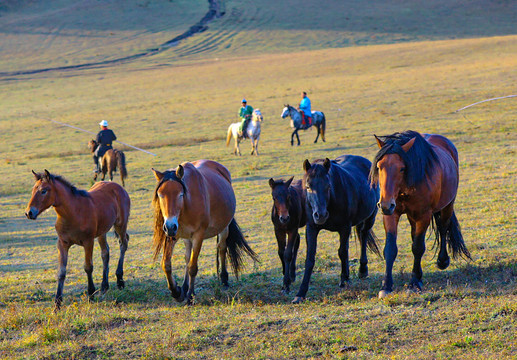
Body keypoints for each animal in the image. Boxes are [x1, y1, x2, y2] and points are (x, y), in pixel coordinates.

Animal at [24, 169, 130, 310]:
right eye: (33, 190)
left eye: (43, 191)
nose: (28, 213)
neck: (73, 213)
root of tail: (118, 187)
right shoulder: (62, 244)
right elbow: (61, 272)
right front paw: (57, 303)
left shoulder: (88, 242)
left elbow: (88, 267)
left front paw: (91, 295)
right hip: (102, 232)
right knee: (105, 252)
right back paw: (104, 286)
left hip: (120, 225)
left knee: (123, 243)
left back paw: (119, 280)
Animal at [152, 160, 258, 304]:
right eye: (160, 195)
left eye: (180, 194)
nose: (170, 226)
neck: (186, 205)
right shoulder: (172, 234)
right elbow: (166, 265)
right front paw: (177, 292)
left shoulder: (198, 235)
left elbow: (192, 267)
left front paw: (190, 296)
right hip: (184, 236)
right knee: (187, 257)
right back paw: (184, 287)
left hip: (223, 228)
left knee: (222, 248)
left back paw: (224, 279)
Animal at [292, 155, 380, 304]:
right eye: (308, 187)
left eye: (328, 186)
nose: (320, 215)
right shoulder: (312, 228)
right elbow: (310, 259)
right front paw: (300, 293)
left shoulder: (344, 227)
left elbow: (342, 252)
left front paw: (344, 280)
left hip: (370, 217)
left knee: (363, 235)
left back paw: (362, 270)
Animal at [368, 129, 470, 298]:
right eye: (379, 166)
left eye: (402, 168)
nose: (385, 204)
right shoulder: (391, 214)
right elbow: (390, 249)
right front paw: (386, 286)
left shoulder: (424, 216)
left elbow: (418, 247)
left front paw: (414, 282)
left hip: (448, 205)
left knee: (443, 228)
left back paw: (442, 261)